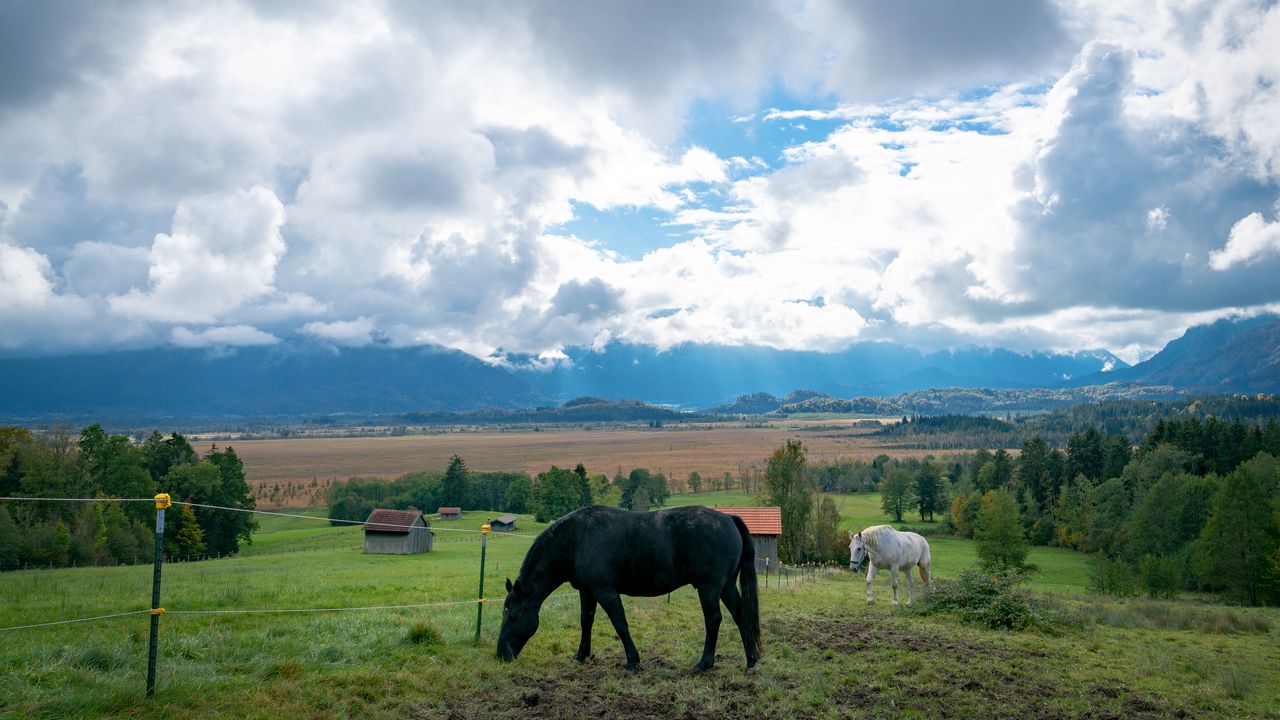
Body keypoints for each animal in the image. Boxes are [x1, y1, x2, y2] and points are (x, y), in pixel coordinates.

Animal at [496, 502, 757, 671]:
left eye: (512, 615)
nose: (501, 654)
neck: (575, 539)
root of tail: (728, 519)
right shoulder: (587, 591)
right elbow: (586, 621)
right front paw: (581, 655)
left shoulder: (605, 591)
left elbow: (620, 623)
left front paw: (633, 662)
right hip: (726, 587)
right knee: (741, 615)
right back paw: (751, 660)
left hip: (709, 588)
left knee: (713, 620)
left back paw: (704, 663)